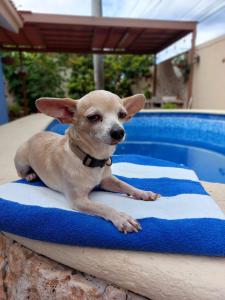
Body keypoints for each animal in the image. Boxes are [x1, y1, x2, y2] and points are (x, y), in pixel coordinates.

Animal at [14, 90, 158, 233]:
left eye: (122, 115)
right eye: (93, 117)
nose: (119, 132)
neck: (92, 159)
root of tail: (34, 135)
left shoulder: (106, 180)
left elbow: (125, 185)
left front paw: (143, 193)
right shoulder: (79, 201)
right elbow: (103, 206)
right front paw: (122, 217)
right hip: (21, 161)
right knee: (22, 172)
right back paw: (30, 175)